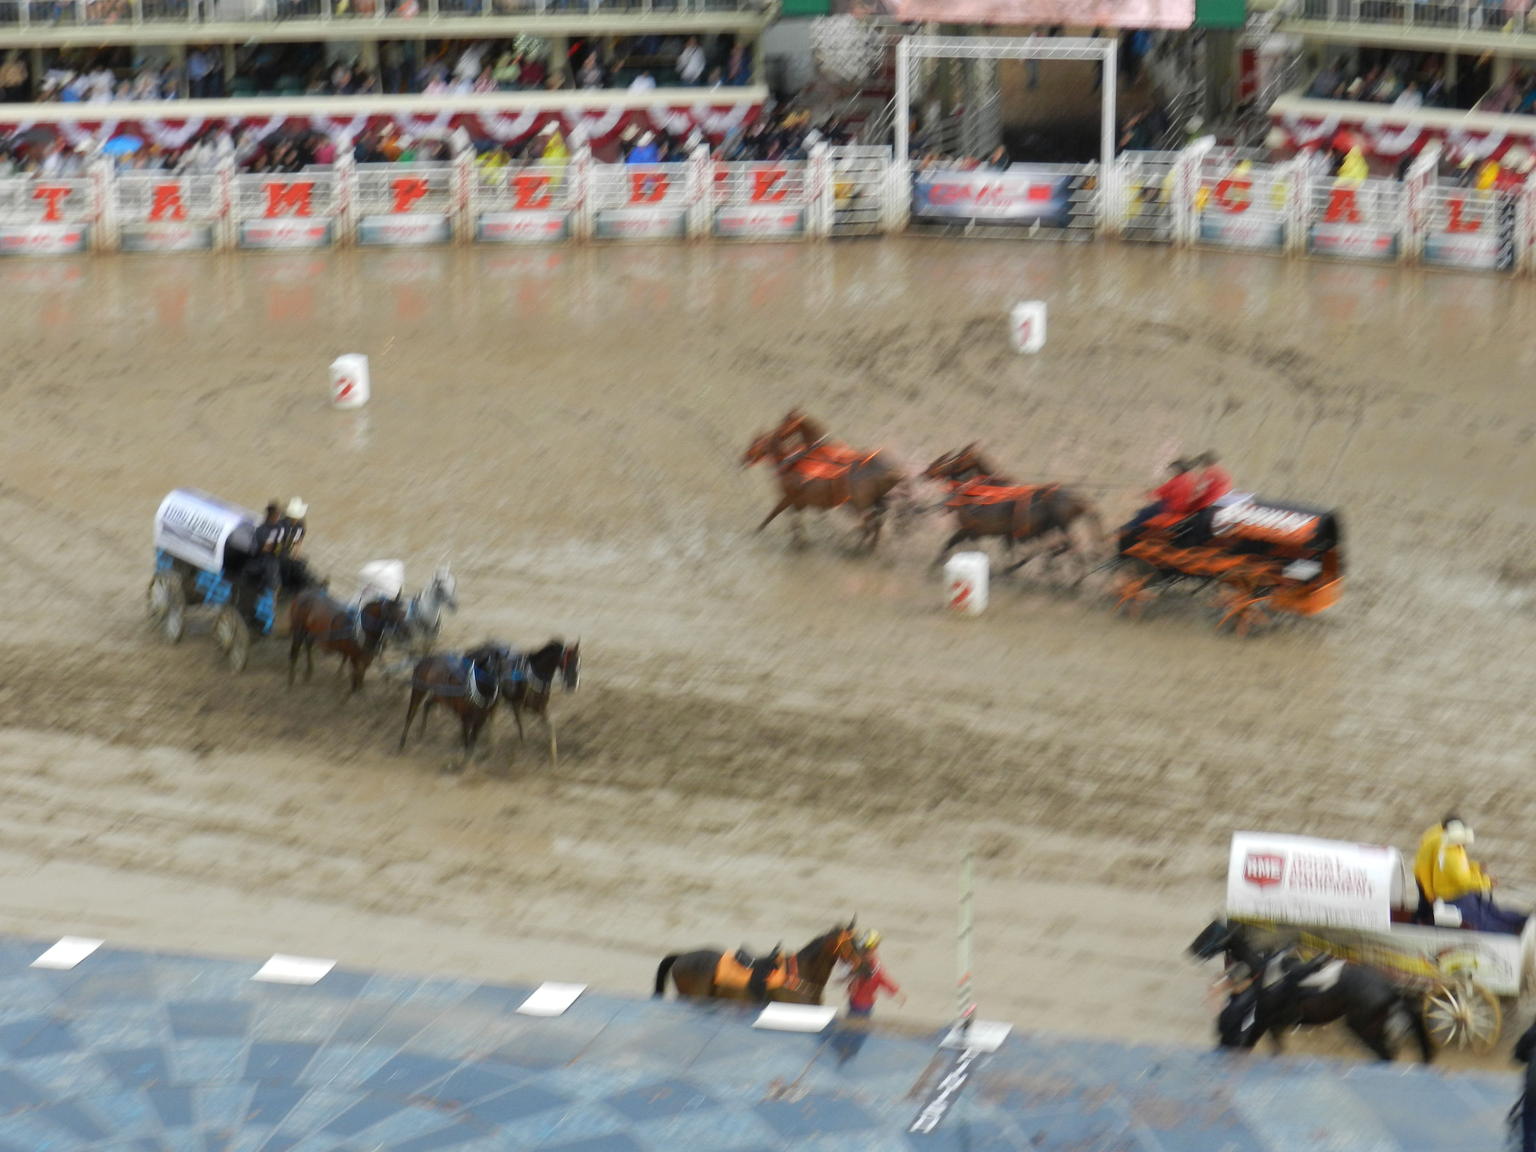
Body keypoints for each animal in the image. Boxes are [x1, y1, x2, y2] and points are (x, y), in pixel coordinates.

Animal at [743, 414, 909, 549]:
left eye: (755, 442)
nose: (743, 458)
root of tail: (892, 472)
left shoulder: (790, 498)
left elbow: (774, 515)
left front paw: (758, 532)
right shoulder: (799, 502)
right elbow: (794, 520)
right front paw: (800, 540)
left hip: (862, 503)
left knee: (870, 524)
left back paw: (858, 547)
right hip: (874, 500)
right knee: (875, 523)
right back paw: (868, 545)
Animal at [915, 445, 1112, 580]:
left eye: (958, 459)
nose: (926, 473)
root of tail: (1081, 499)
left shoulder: (973, 530)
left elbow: (950, 544)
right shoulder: (1004, 533)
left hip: (1061, 524)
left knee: (1071, 546)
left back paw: (1072, 578)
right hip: (1052, 528)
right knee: (1064, 547)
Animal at [1191, 921, 1431, 1062]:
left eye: (1213, 934)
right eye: (1207, 930)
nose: (1191, 950)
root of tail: (1391, 989)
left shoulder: (1271, 1025)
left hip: (1364, 1026)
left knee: (1385, 1054)